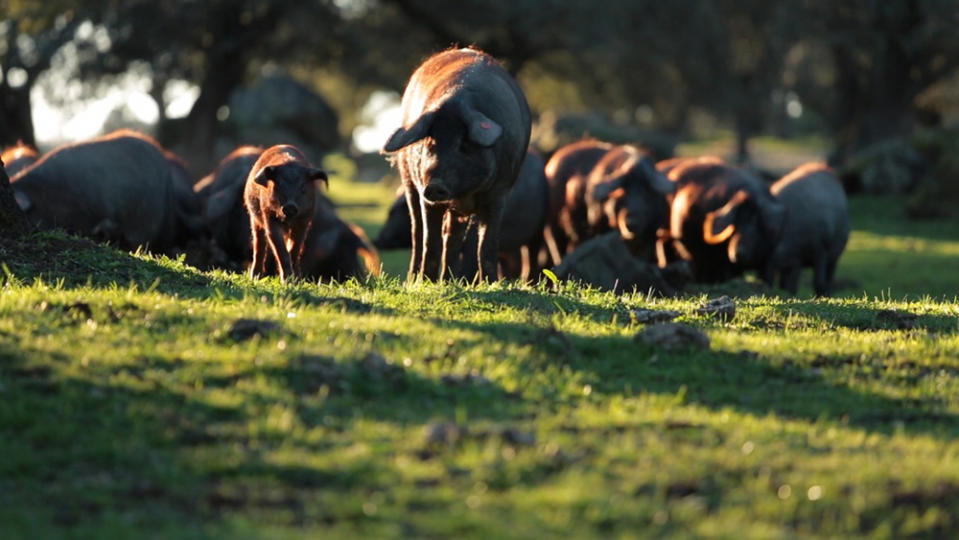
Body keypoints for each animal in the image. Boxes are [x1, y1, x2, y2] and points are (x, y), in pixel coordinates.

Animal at [242, 146, 328, 284]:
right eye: (279, 187)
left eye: (303, 188)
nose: (290, 206)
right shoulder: (268, 215)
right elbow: (279, 248)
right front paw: (287, 281)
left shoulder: (304, 220)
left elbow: (295, 248)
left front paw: (296, 281)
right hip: (254, 218)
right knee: (259, 245)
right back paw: (255, 277)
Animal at [382, 47, 532, 282]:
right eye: (431, 143)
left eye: (464, 144)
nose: (434, 185)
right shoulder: (426, 196)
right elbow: (431, 241)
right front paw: (425, 282)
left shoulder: (500, 192)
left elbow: (486, 244)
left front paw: (490, 283)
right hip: (409, 182)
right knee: (418, 232)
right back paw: (416, 279)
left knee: (452, 236)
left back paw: (449, 280)